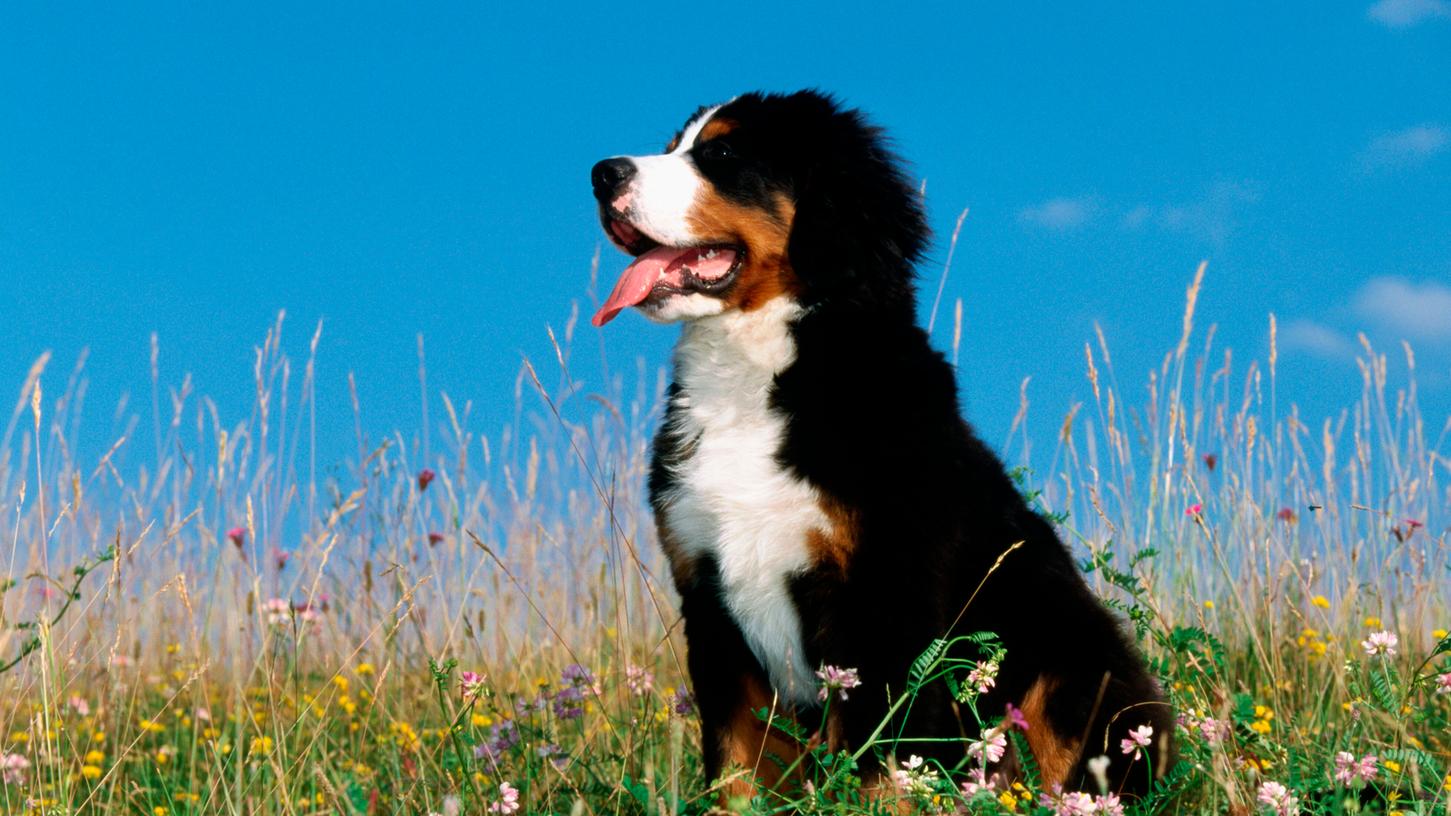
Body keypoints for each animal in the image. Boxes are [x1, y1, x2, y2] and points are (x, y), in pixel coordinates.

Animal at [586, 88, 1166, 801]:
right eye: (675, 146)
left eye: (722, 154)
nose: (601, 173)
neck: (754, 379)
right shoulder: (708, 596)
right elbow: (737, 764)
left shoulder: (884, 596)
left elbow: (879, 761)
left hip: (1078, 666)